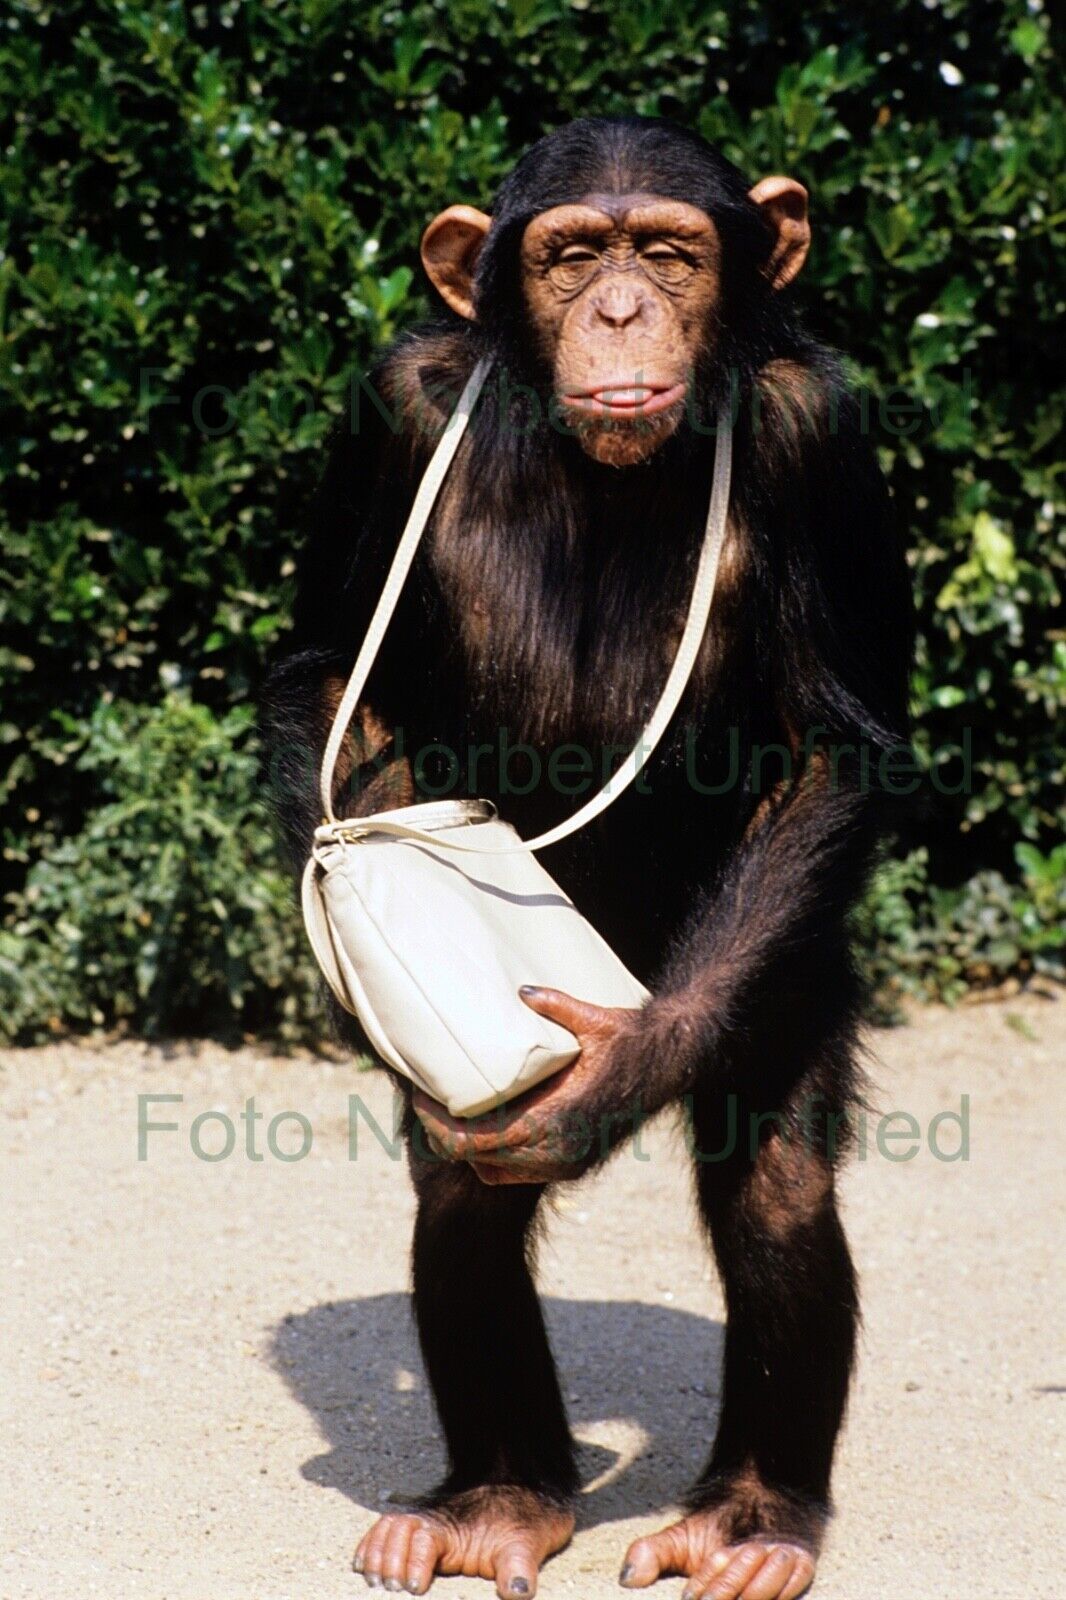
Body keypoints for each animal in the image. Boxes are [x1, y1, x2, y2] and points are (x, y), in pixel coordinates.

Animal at [260, 116, 909, 1600]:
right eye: (568, 257)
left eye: (665, 250)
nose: (617, 309)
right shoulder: (391, 409)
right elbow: (329, 666)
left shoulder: (821, 433)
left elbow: (832, 742)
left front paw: (624, 1070)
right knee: (460, 1198)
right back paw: (499, 1498)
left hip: (773, 964)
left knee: (776, 1190)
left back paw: (747, 1522)